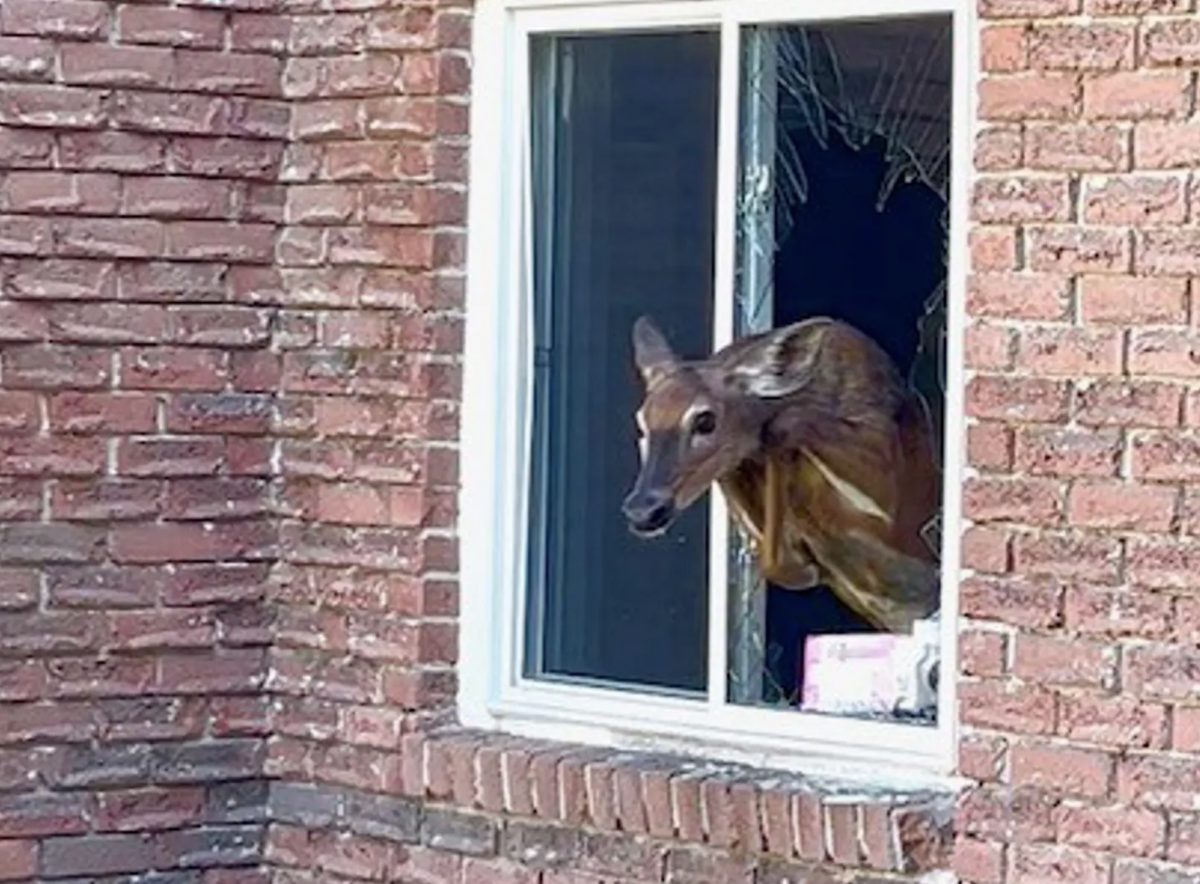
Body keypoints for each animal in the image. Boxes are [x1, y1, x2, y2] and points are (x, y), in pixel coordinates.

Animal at [621, 314, 941, 635]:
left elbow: (785, 425)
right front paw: (802, 568)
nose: (642, 510)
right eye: (641, 423)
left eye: (706, 420)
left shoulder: (890, 483)